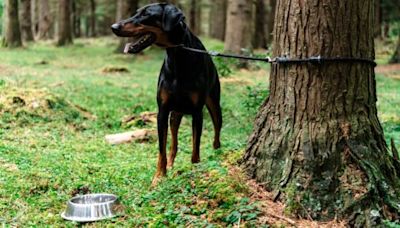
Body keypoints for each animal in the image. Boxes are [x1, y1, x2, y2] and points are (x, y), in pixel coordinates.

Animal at [111, 2, 222, 184]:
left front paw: (195, 169)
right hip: (175, 114)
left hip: (214, 104)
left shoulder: (197, 112)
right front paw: (159, 177)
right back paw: (170, 164)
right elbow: (161, 148)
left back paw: (217, 151)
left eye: (146, 14)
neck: (178, 55)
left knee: (217, 130)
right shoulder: (162, 111)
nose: (114, 27)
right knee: (174, 142)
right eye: (137, 12)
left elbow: (195, 148)